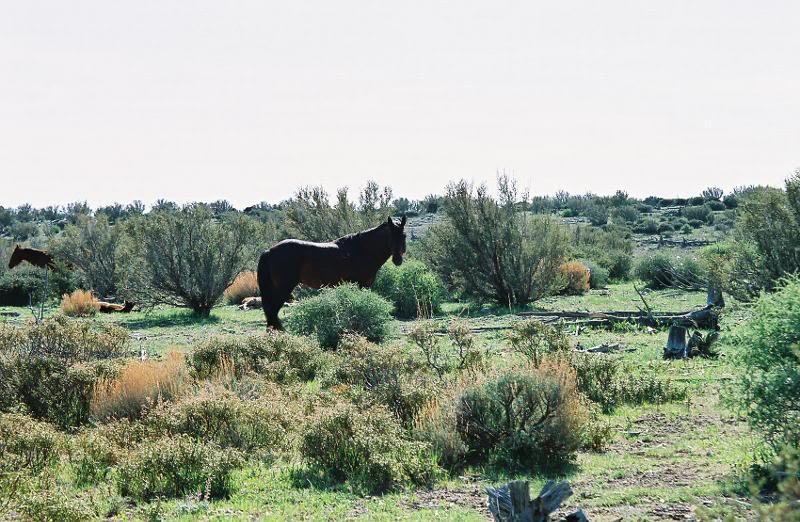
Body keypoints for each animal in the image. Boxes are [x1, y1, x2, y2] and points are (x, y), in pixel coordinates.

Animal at [257, 216, 407, 329]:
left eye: (403, 235)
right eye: (390, 235)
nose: (398, 260)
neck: (362, 249)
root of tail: (269, 251)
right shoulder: (360, 284)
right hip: (283, 289)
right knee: (272, 312)